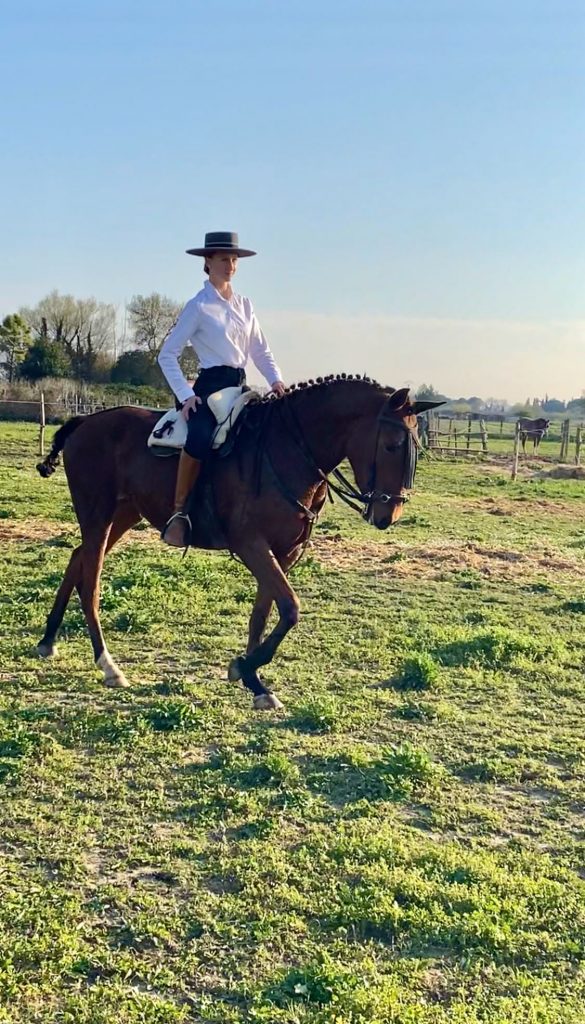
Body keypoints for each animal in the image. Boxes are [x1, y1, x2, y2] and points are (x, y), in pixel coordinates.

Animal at [35, 376, 441, 710]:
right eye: (392, 445)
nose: (389, 515)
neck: (289, 451)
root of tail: (86, 422)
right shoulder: (251, 545)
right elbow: (290, 607)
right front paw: (244, 667)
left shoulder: (283, 552)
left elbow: (262, 613)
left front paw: (253, 680)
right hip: (98, 514)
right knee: (91, 581)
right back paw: (108, 665)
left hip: (122, 515)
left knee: (78, 558)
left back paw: (48, 639)